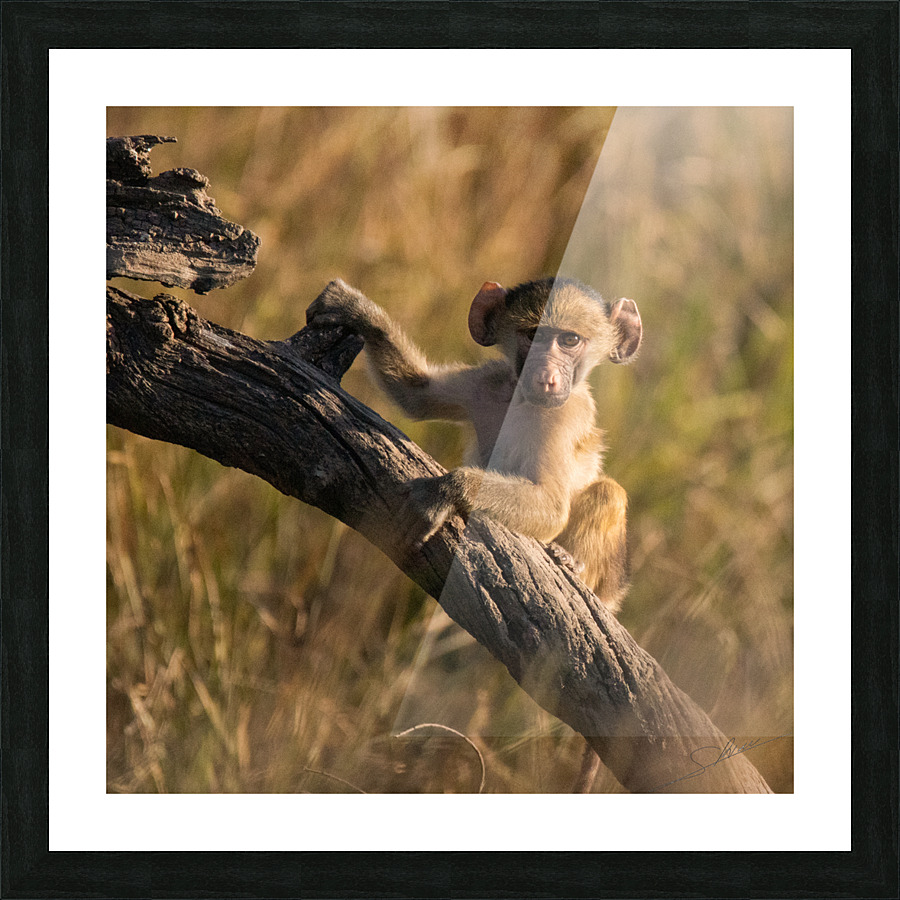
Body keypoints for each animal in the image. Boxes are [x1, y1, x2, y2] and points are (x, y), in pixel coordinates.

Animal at [305, 276, 642, 613]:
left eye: (570, 340)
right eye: (532, 336)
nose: (546, 375)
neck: (522, 399)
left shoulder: (565, 414)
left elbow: (553, 506)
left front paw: (446, 490)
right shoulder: (487, 381)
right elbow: (416, 395)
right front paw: (358, 311)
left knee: (607, 492)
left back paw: (571, 561)